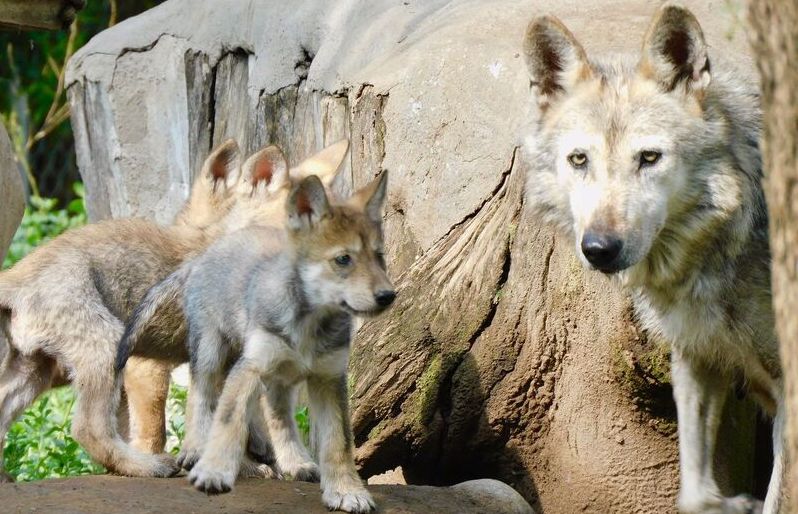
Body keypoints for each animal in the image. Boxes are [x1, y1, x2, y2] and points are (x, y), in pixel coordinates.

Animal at [172, 172, 393, 513]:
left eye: (379, 257)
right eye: (343, 259)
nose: (388, 296)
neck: (309, 322)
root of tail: (219, 243)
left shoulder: (329, 378)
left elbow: (338, 442)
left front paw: (346, 490)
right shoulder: (251, 366)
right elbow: (228, 420)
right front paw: (214, 471)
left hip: (281, 378)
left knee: (278, 417)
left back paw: (296, 462)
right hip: (211, 350)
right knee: (202, 394)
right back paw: (194, 449)